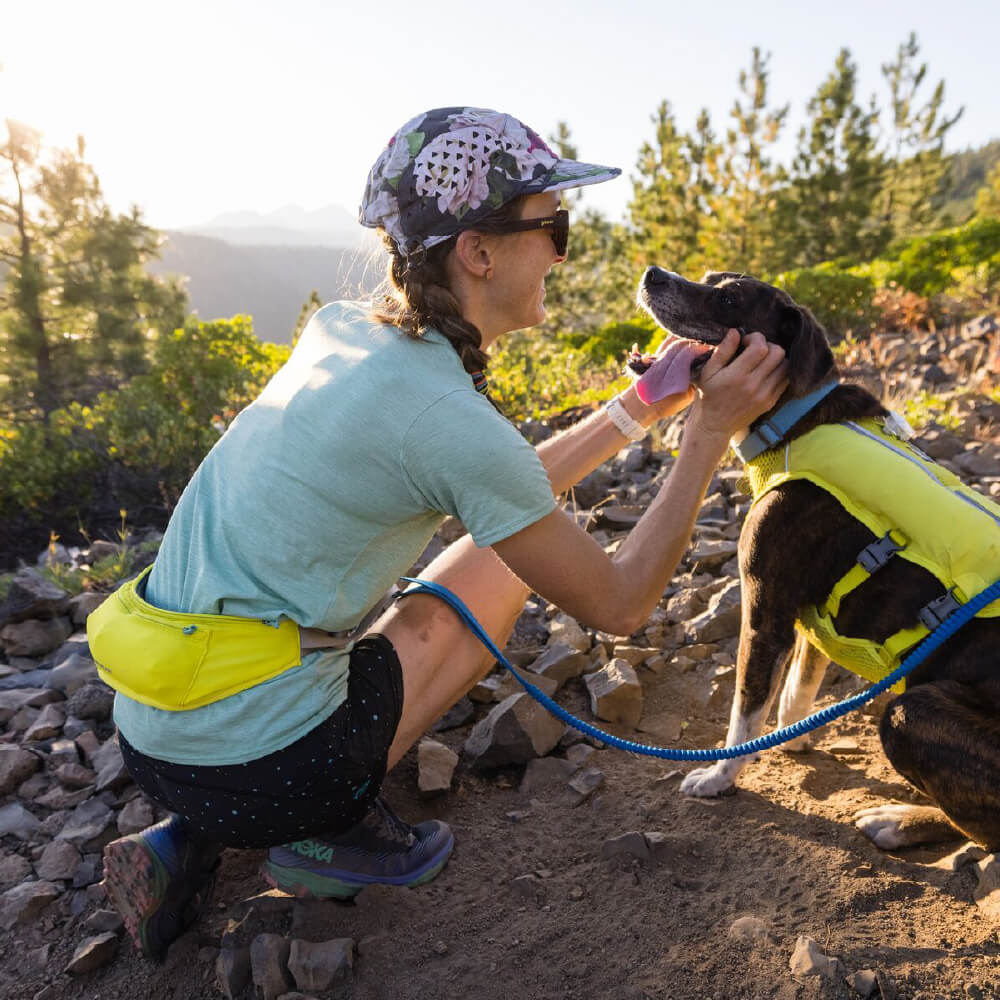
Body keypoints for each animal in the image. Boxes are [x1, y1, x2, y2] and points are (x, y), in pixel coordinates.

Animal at [636, 266, 996, 852]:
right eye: (710, 278)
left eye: (730, 299)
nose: (653, 273)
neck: (795, 418)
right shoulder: (812, 619)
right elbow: (799, 685)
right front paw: (793, 735)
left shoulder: (765, 614)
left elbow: (745, 709)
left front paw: (720, 777)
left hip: (909, 711)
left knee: (987, 831)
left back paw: (900, 820)